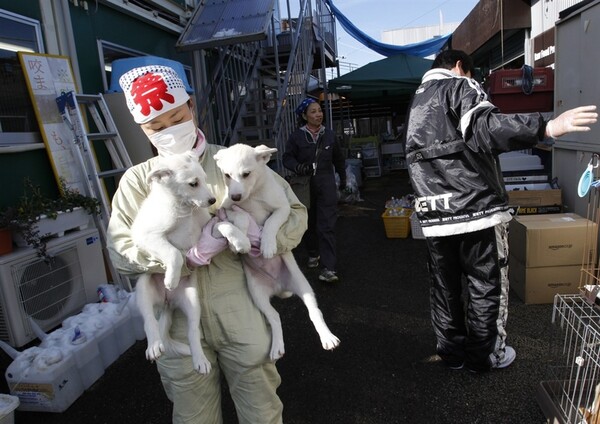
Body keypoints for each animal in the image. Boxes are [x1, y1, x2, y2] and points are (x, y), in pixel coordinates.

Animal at [131, 152, 216, 374]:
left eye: (205, 178)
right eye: (193, 184)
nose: (213, 200)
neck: (185, 209)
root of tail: (167, 303)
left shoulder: (207, 224)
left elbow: (225, 226)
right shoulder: (147, 236)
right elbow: (174, 253)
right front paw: (171, 278)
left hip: (193, 301)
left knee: (193, 331)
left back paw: (200, 359)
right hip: (143, 288)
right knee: (149, 321)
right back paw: (154, 345)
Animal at [213, 144, 340, 360]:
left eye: (246, 174)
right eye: (227, 175)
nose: (235, 196)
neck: (253, 196)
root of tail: (279, 287)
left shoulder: (283, 208)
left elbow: (271, 222)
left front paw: (267, 245)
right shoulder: (226, 209)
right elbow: (240, 216)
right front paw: (241, 240)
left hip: (303, 285)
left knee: (314, 312)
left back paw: (327, 338)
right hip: (257, 295)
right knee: (274, 316)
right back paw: (277, 347)